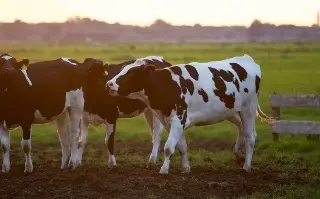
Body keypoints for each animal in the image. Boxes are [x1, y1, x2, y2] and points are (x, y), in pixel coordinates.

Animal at [106, 54, 276, 174]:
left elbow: (168, 147)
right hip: (232, 111)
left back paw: (247, 166)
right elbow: (181, 146)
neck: (167, 84)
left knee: (250, 136)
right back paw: (238, 153)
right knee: (241, 129)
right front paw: (185, 168)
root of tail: (247, 59)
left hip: (248, 109)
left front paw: (164, 170)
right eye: (122, 70)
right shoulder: (170, 122)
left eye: (132, 73)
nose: (109, 84)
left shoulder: (178, 120)